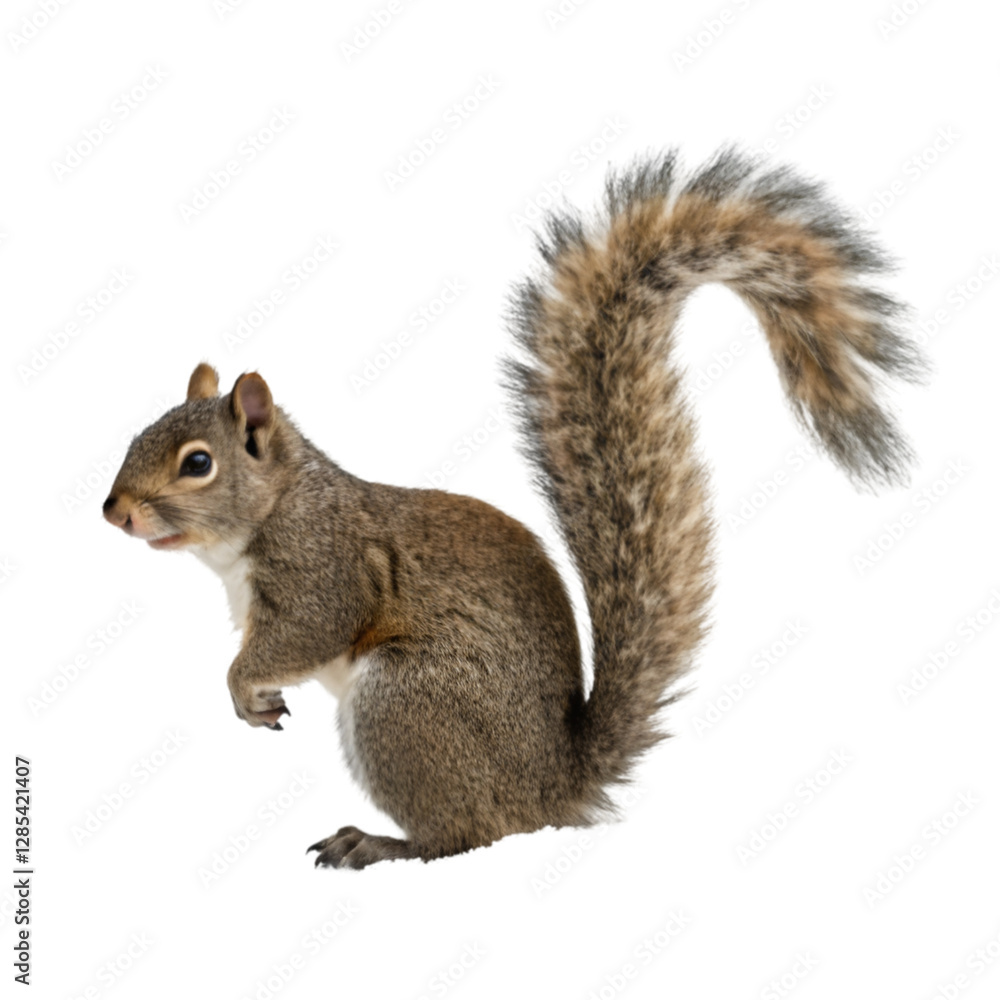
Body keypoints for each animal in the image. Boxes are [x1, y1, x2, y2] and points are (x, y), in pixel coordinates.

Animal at [103, 150, 925, 869]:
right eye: (140, 434)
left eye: (198, 463)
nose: (114, 512)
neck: (275, 507)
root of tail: (551, 787)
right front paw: (254, 693)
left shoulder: (323, 566)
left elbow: (309, 627)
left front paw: (242, 686)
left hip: (404, 705)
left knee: (469, 835)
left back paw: (379, 844)